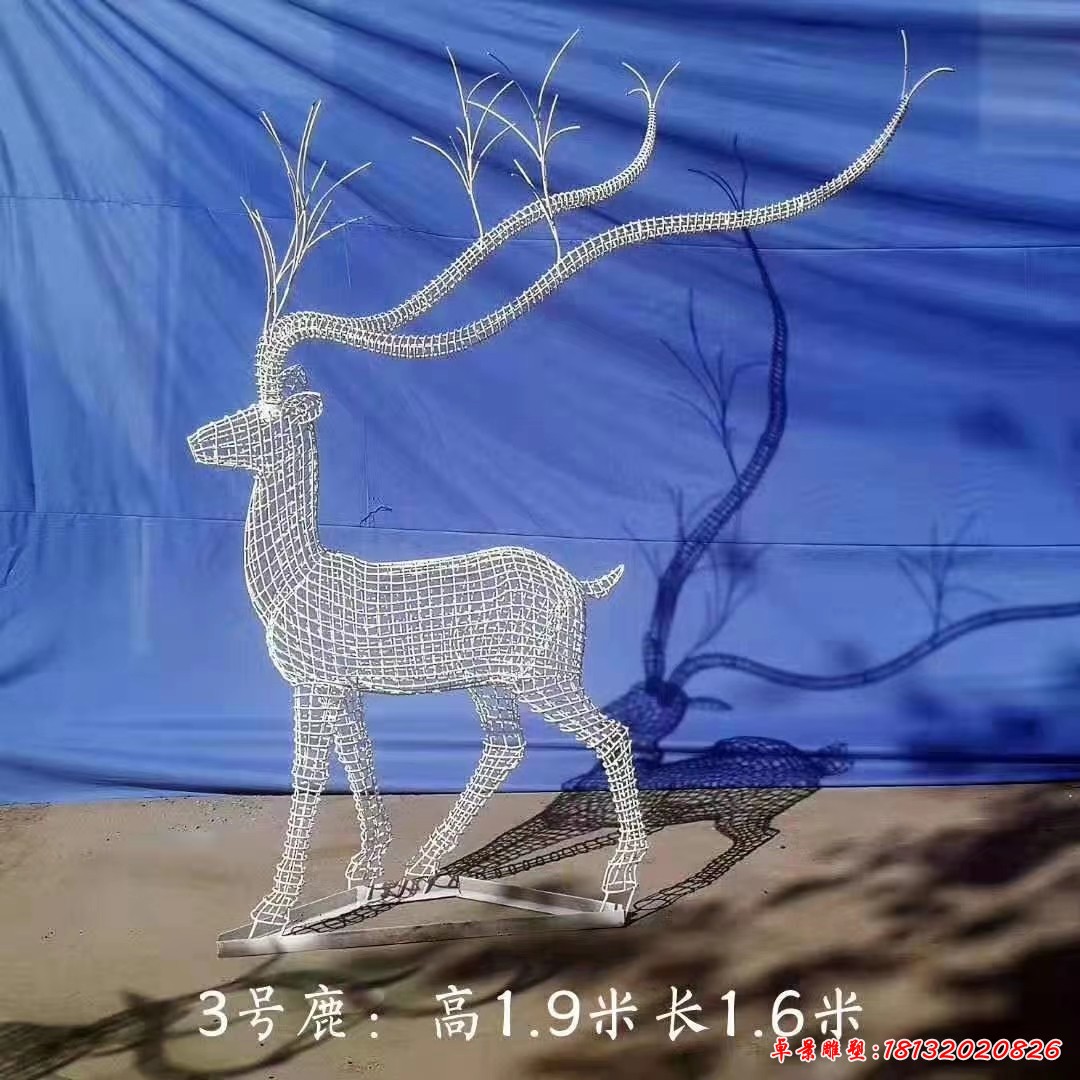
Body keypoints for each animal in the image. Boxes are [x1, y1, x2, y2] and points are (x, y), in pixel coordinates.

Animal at [186, 31, 950, 937]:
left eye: (267, 414)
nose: (196, 439)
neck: (297, 577)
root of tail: (581, 585)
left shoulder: (317, 686)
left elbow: (313, 780)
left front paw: (274, 912)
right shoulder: (346, 692)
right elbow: (364, 773)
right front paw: (362, 886)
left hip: (541, 680)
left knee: (618, 743)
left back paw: (617, 890)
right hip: (495, 684)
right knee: (510, 748)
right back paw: (423, 876)